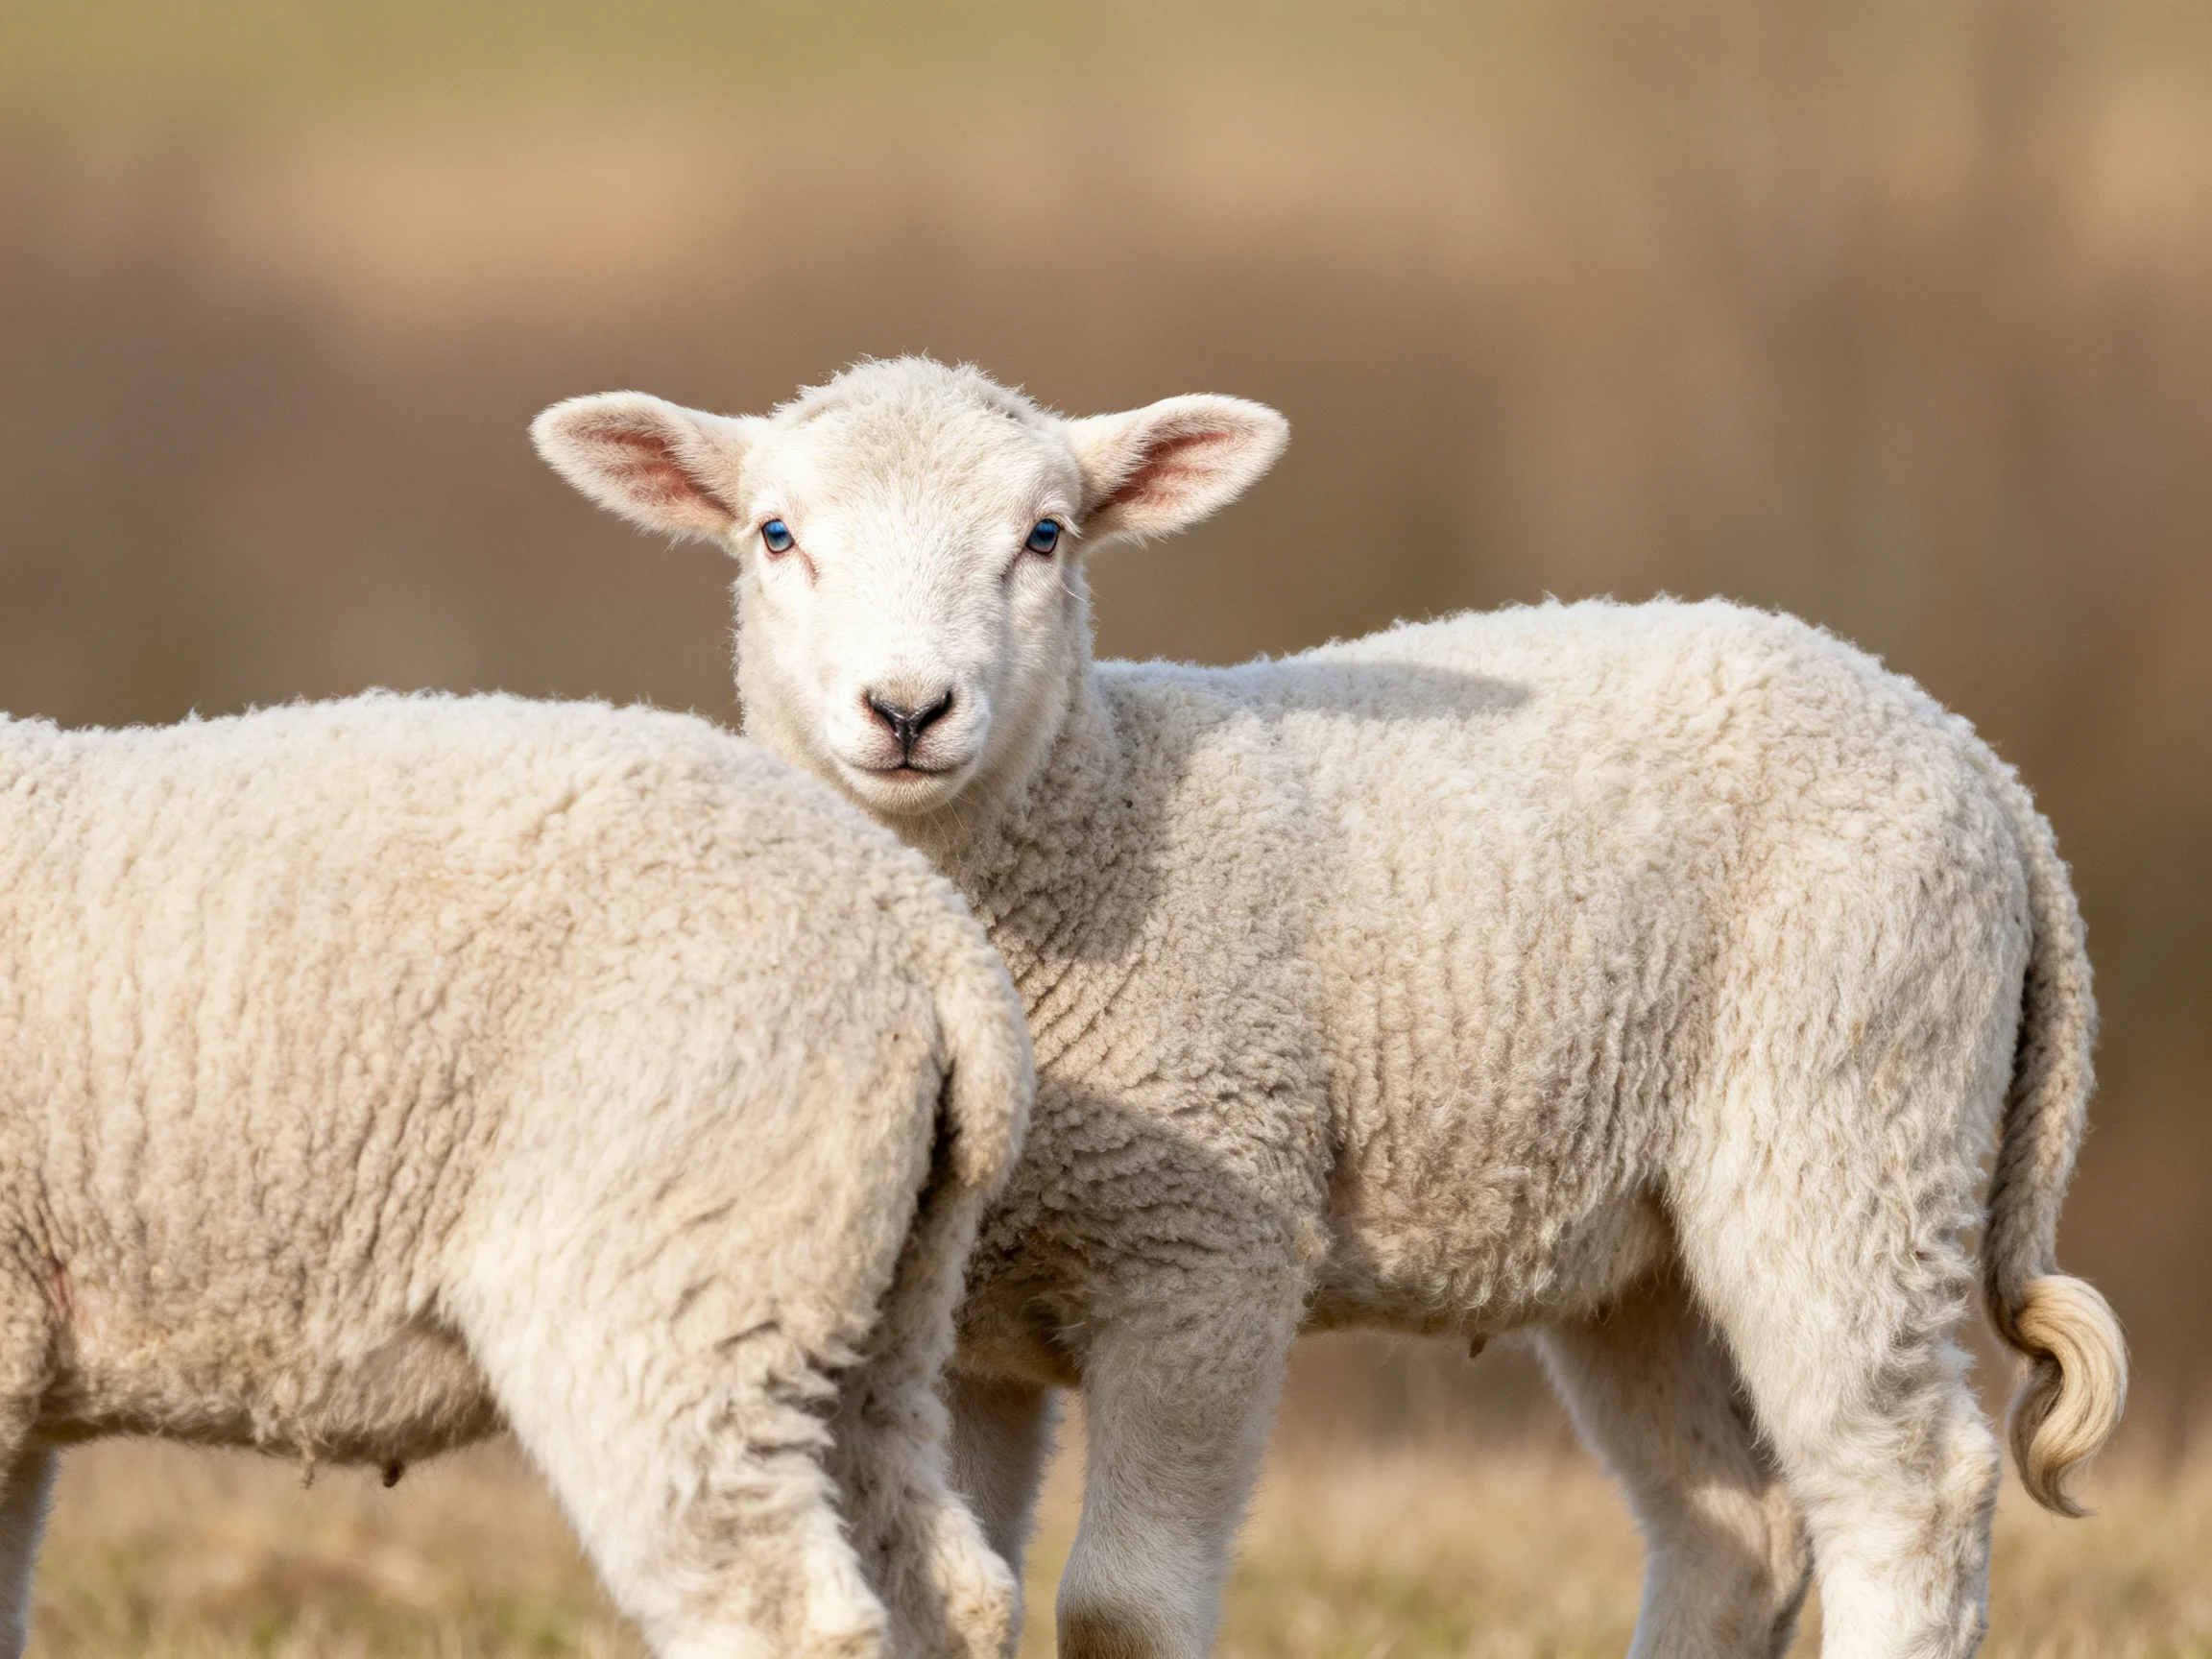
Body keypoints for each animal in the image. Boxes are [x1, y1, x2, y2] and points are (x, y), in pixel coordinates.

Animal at [534, 357, 2128, 1659]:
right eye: (775, 535)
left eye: (1045, 537)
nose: (909, 711)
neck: (1090, 820)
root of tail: (1973, 758)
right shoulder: (963, 1317)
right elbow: (946, 1595)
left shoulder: (1207, 1248)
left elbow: (1121, 1607)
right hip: (1649, 1241)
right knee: (1737, 1530)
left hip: (1850, 1105)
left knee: (1905, 1485)